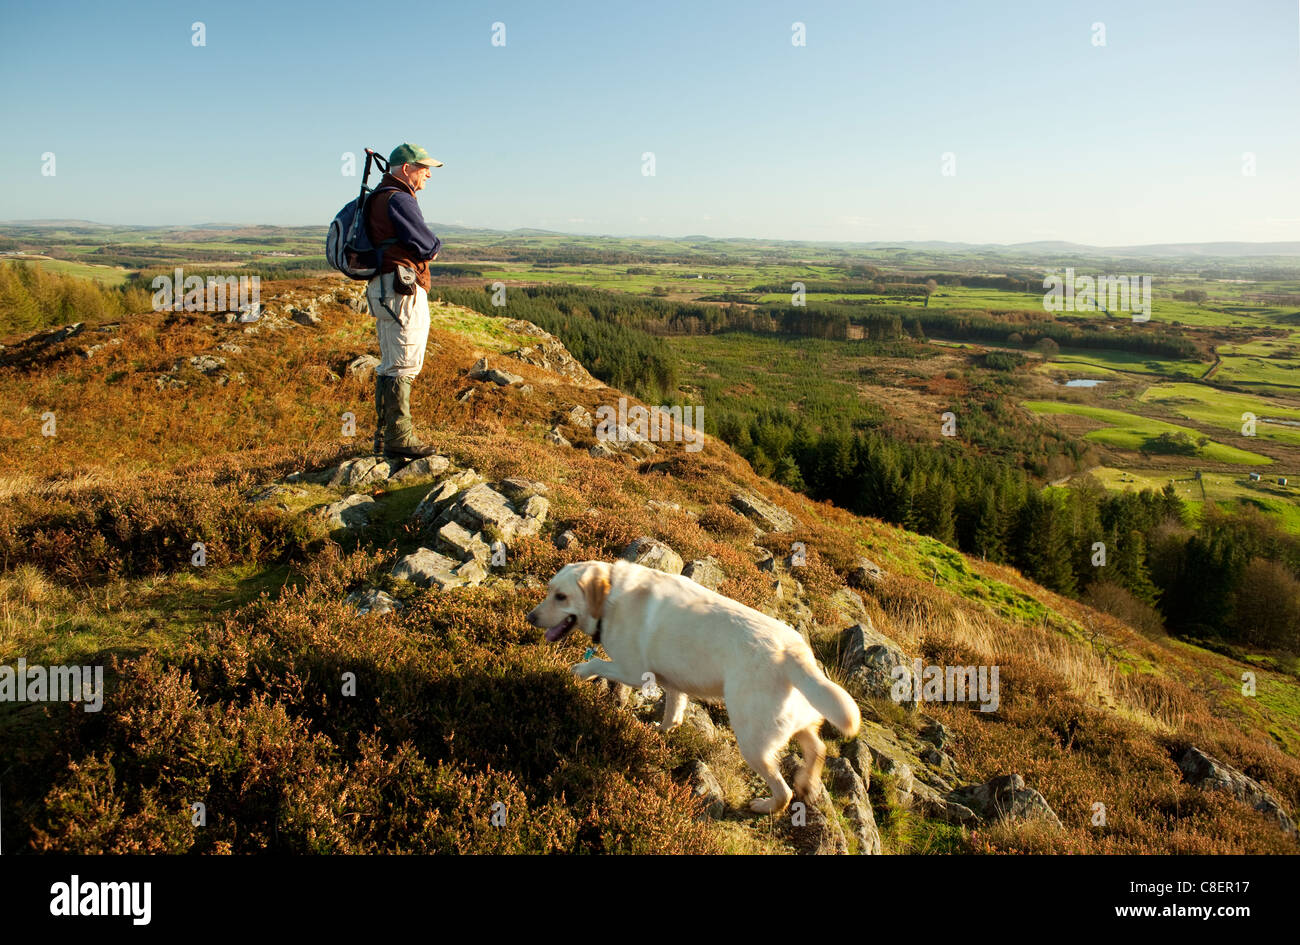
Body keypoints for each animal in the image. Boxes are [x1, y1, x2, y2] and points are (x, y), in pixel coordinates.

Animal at [522, 561, 857, 811]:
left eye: (561, 597)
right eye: (549, 590)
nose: (530, 617)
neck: (609, 599)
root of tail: (795, 652)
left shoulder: (633, 671)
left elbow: (598, 664)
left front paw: (580, 671)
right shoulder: (673, 679)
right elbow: (674, 709)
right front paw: (660, 730)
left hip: (753, 741)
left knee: (784, 790)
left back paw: (766, 805)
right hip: (796, 720)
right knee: (818, 747)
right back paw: (808, 784)